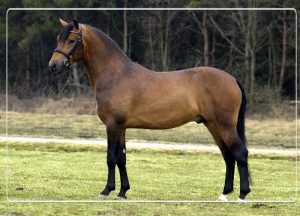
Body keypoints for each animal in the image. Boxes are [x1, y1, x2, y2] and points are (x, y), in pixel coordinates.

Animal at [49, 19, 251, 202]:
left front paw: (106, 190)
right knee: (228, 156)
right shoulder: (121, 127)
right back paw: (224, 194)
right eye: (58, 38)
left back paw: (242, 195)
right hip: (213, 125)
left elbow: (111, 157)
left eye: (72, 40)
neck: (116, 75)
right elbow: (121, 158)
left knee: (240, 153)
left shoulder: (112, 125)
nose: (53, 65)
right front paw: (122, 192)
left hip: (225, 126)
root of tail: (232, 79)